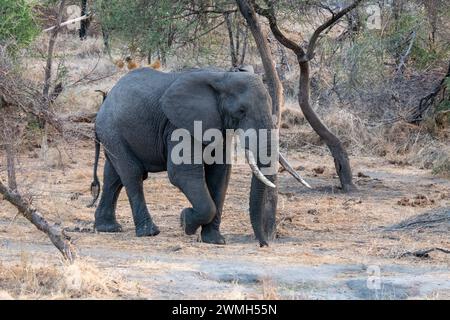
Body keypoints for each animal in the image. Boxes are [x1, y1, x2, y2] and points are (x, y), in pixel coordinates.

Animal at [90, 67, 312, 246]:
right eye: (241, 111)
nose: (263, 244)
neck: (222, 76)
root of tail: (105, 100)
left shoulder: (219, 125)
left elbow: (220, 175)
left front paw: (215, 241)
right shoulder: (179, 125)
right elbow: (184, 174)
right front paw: (185, 222)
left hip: (112, 134)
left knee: (114, 176)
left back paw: (108, 228)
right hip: (112, 129)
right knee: (133, 174)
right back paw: (149, 232)